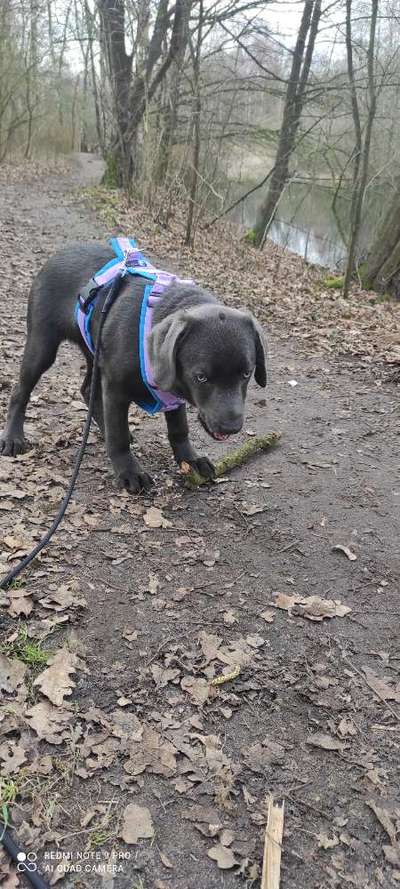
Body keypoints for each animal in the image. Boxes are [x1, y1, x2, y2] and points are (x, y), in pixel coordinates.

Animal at [0, 241, 268, 492]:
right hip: (42, 346)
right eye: (201, 377)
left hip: (95, 353)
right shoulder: (117, 389)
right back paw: (13, 437)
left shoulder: (172, 393)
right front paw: (128, 471)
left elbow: (179, 429)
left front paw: (190, 459)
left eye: (247, 373)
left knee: (87, 391)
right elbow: (119, 437)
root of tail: (59, 253)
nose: (232, 427)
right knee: (20, 391)